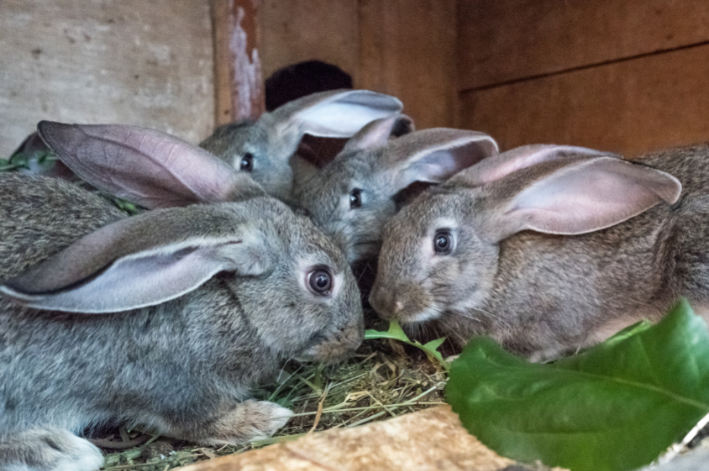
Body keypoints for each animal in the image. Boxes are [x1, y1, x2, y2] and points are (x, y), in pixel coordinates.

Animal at [0, 122, 362, 471]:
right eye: (321, 280)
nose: (354, 339)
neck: (234, 303)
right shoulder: (175, 390)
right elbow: (196, 424)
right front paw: (262, 418)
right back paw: (60, 451)